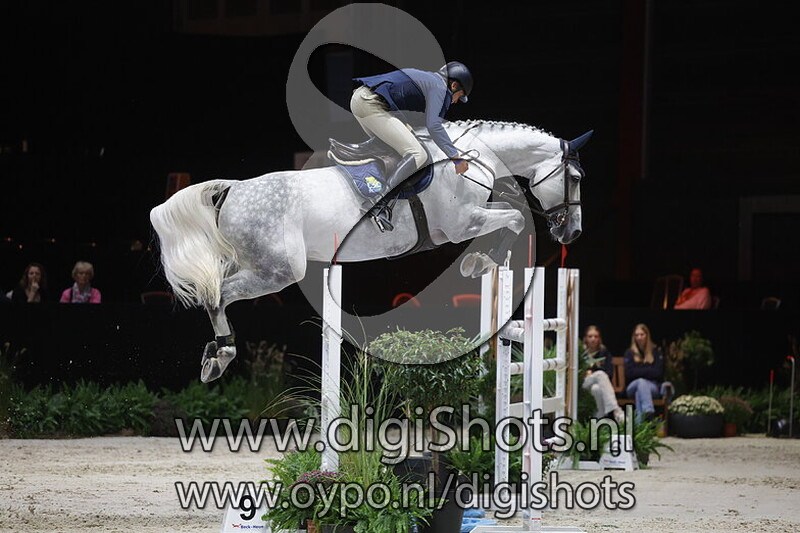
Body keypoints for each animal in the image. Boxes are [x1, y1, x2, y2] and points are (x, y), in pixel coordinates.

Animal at [150, 120, 592, 382]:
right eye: (575, 176)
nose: (573, 232)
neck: (469, 159)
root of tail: (234, 188)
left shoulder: (466, 220)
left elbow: (511, 217)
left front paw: (481, 262)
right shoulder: (461, 223)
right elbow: (514, 219)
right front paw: (480, 262)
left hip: (258, 264)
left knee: (215, 289)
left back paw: (214, 353)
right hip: (277, 271)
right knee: (217, 295)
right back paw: (221, 354)